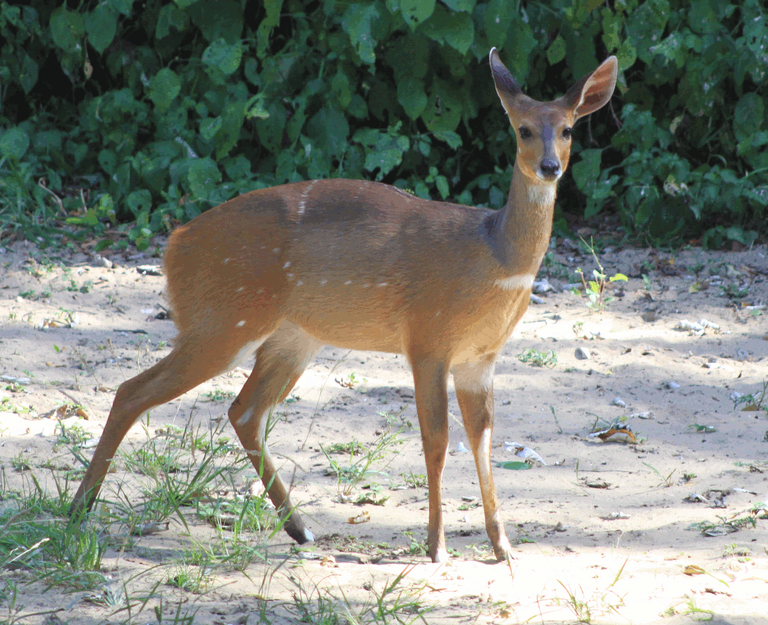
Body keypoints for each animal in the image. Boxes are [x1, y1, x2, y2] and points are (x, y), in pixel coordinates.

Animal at [72, 48, 616, 564]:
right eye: (522, 129)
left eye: (567, 129)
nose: (550, 166)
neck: (493, 257)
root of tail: (174, 244)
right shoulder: (427, 340)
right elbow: (437, 441)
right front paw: (437, 547)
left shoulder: (479, 359)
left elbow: (482, 439)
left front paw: (503, 547)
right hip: (221, 322)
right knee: (133, 391)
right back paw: (78, 508)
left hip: (291, 338)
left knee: (244, 410)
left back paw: (300, 529)